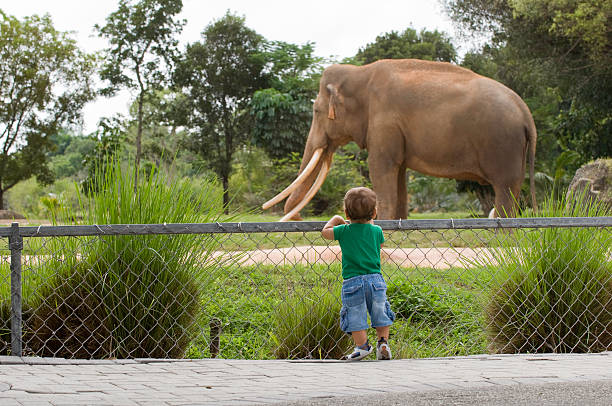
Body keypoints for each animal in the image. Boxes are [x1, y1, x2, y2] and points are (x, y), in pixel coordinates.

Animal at [262, 58, 536, 220]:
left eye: (316, 111)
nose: (297, 218)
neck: (360, 73)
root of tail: (526, 114)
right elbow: (399, 173)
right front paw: (399, 223)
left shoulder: (384, 122)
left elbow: (380, 167)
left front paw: (381, 224)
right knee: (513, 187)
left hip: (502, 145)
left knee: (504, 187)